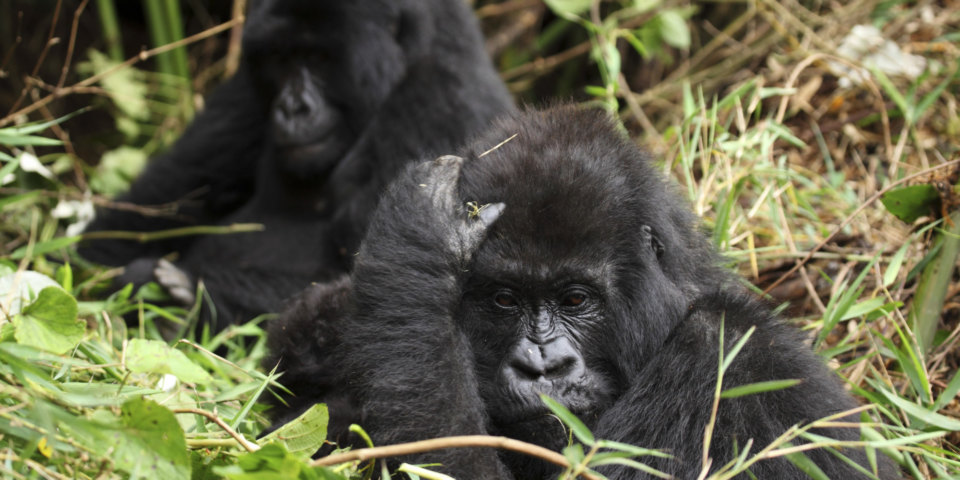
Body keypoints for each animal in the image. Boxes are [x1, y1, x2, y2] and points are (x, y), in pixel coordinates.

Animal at [79, 0, 512, 330]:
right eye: (280, 58)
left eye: (318, 58)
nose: (292, 107)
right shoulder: (248, 88)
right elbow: (160, 203)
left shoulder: (439, 103)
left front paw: (181, 299)